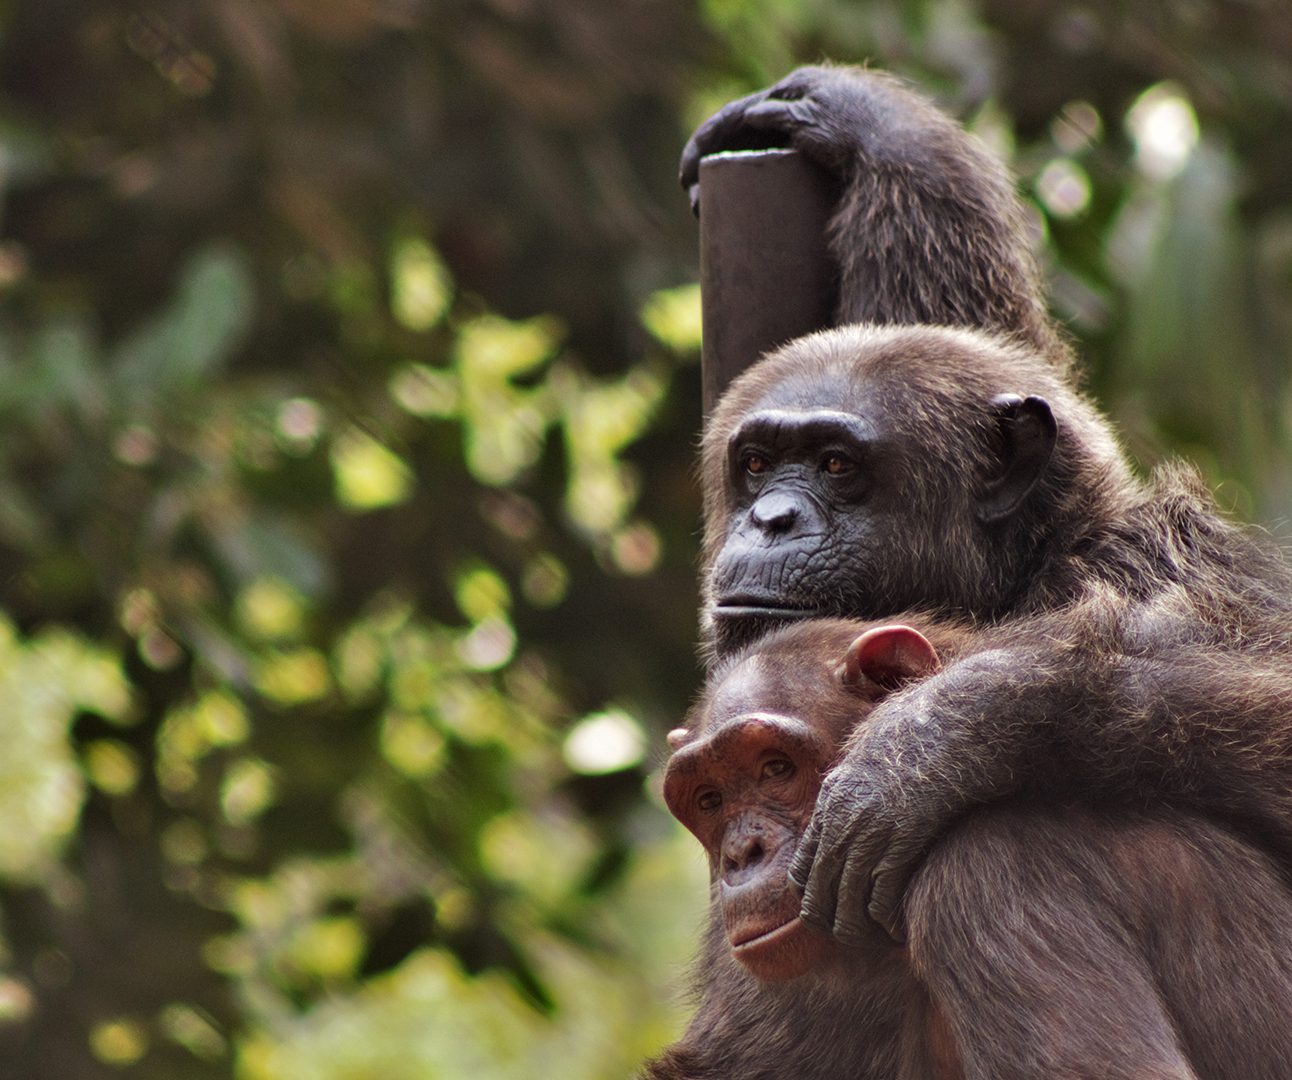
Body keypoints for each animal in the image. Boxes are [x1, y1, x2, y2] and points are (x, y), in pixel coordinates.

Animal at [677, 69, 1292, 945]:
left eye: (836, 465)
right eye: (758, 465)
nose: (772, 519)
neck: (1034, 566)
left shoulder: (1179, 573)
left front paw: (934, 740)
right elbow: (963, 308)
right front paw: (851, 114)